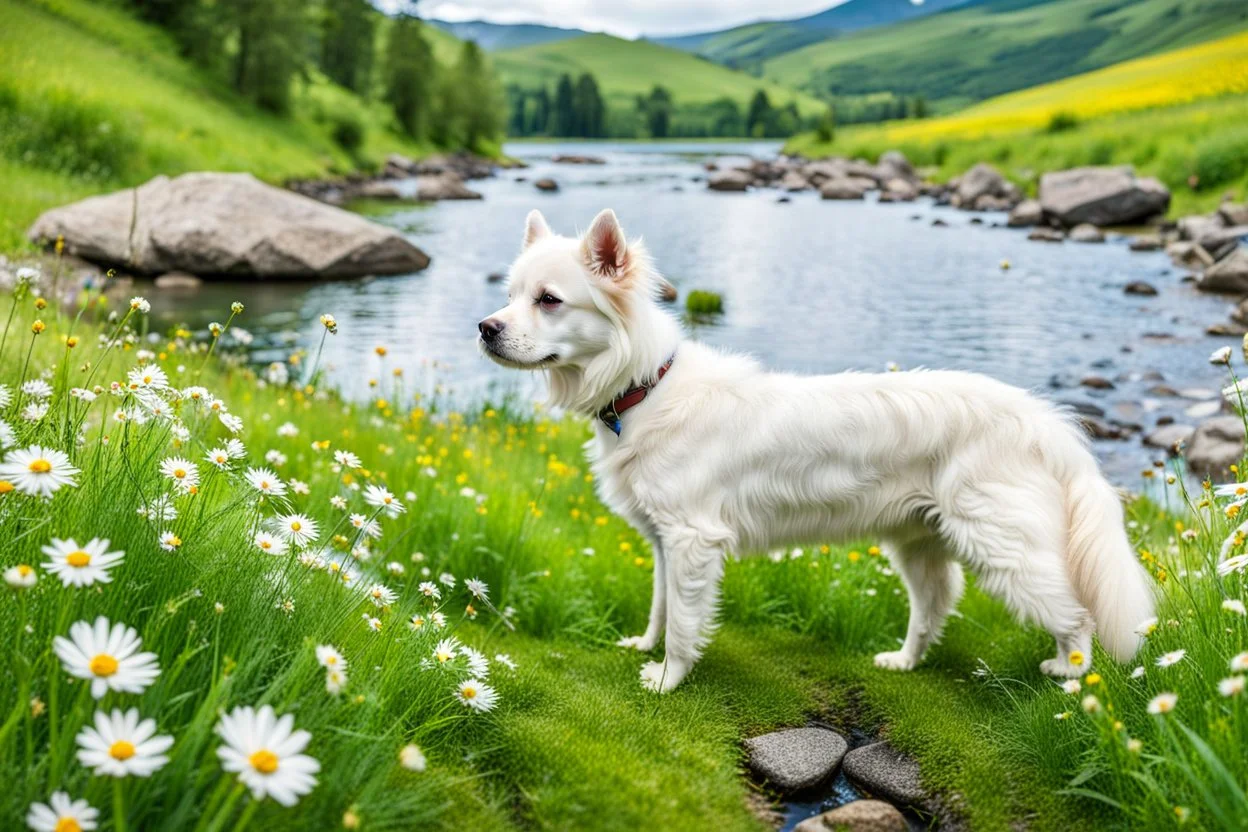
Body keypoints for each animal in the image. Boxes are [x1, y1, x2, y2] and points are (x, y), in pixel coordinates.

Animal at [476, 209, 1148, 698]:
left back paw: (1070, 675)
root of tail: (1043, 421)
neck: (648, 386)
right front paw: (644, 649)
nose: (485, 328)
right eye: (509, 294)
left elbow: (685, 624)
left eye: (549, 299)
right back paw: (904, 661)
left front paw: (667, 679)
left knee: (1077, 614)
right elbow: (660, 608)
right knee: (934, 609)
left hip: (1005, 547)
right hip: (919, 545)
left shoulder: (692, 540)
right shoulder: (665, 543)